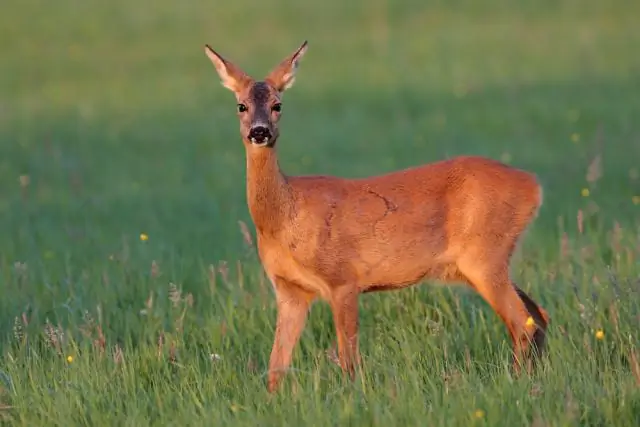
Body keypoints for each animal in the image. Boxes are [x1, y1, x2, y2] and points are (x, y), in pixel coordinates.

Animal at [204, 41, 552, 394]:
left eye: (278, 105)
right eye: (241, 106)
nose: (260, 132)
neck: (285, 218)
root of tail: (533, 185)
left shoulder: (343, 278)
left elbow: (349, 360)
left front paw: (352, 397)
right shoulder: (290, 291)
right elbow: (276, 366)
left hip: (484, 256)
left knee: (522, 324)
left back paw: (518, 383)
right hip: (485, 262)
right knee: (538, 316)